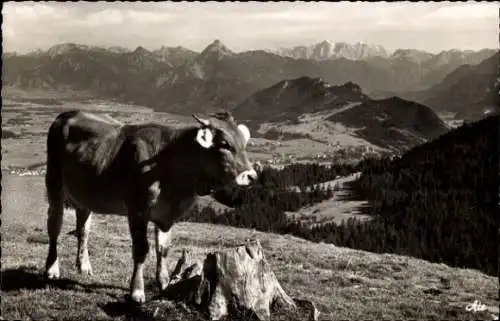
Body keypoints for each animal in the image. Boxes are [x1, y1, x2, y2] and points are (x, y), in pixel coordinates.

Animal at [43, 109, 258, 302]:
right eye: (225, 145)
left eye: (243, 143)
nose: (251, 176)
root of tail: (67, 114)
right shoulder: (137, 210)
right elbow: (141, 250)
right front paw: (137, 291)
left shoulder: (166, 216)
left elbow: (163, 249)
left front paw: (164, 283)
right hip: (53, 179)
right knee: (55, 225)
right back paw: (51, 268)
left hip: (85, 192)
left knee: (83, 229)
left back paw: (84, 266)